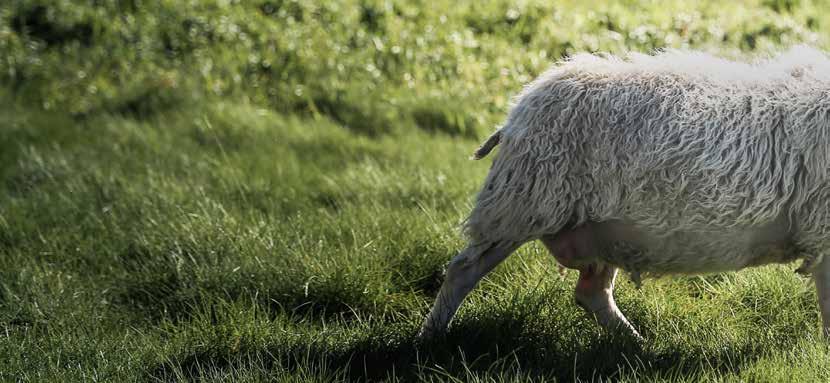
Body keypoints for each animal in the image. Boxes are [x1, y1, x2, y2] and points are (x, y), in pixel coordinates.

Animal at [422, 46, 830, 340]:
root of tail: (516, 113)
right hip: (521, 204)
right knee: (462, 271)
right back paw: (429, 340)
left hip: (599, 230)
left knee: (591, 293)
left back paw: (635, 344)